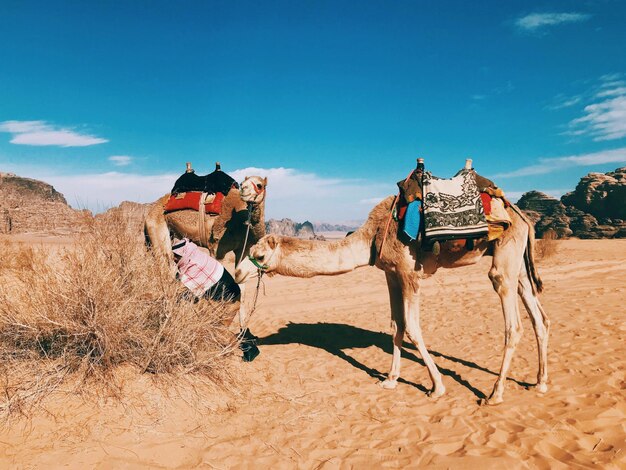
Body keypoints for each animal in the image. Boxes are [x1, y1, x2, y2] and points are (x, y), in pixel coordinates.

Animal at [236, 195, 548, 404]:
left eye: (259, 255)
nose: (238, 272)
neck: (372, 236)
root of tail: (523, 217)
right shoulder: (391, 274)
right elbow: (396, 325)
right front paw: (390, 379)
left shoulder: (410, 273)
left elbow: (413, 328)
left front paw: (437, 387)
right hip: (518, 261)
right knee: (540, 319)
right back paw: (540, 383)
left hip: (505, 256)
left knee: (513, 322)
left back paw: (495, 393)